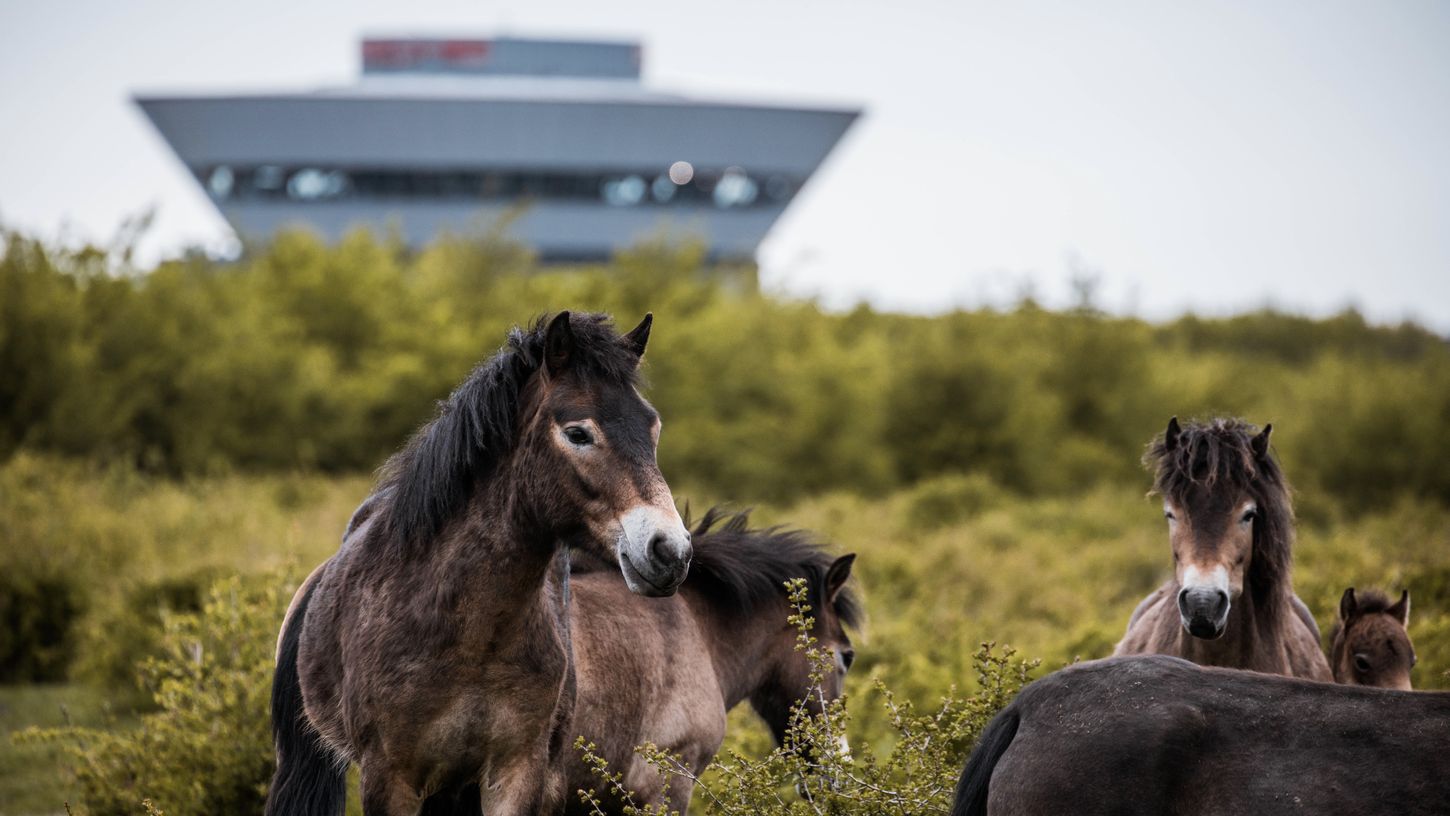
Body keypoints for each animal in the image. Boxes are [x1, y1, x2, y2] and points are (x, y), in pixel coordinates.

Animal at [266, 313, 696, 816]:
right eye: (578, 433)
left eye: (653, 427)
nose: (670, 551)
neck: (471, 634)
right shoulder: (389, 777)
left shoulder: (515, 773)